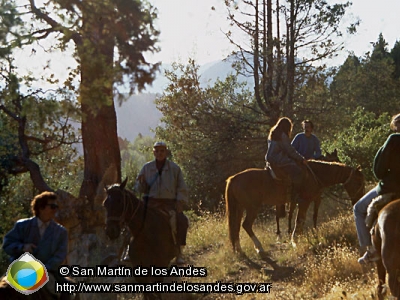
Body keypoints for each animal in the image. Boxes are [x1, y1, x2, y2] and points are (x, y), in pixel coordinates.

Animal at [225, 161, 366, 254]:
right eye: (359, 182)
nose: (358, 200)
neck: (314, 175)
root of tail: (233, 179)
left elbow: (302, 220)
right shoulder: (304, 202)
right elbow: (299, 220)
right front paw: (295, 240)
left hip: (240, 208)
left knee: (236, 227)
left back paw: (239, 249)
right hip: (252, 208)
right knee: (246, 225)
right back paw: (259, 247)